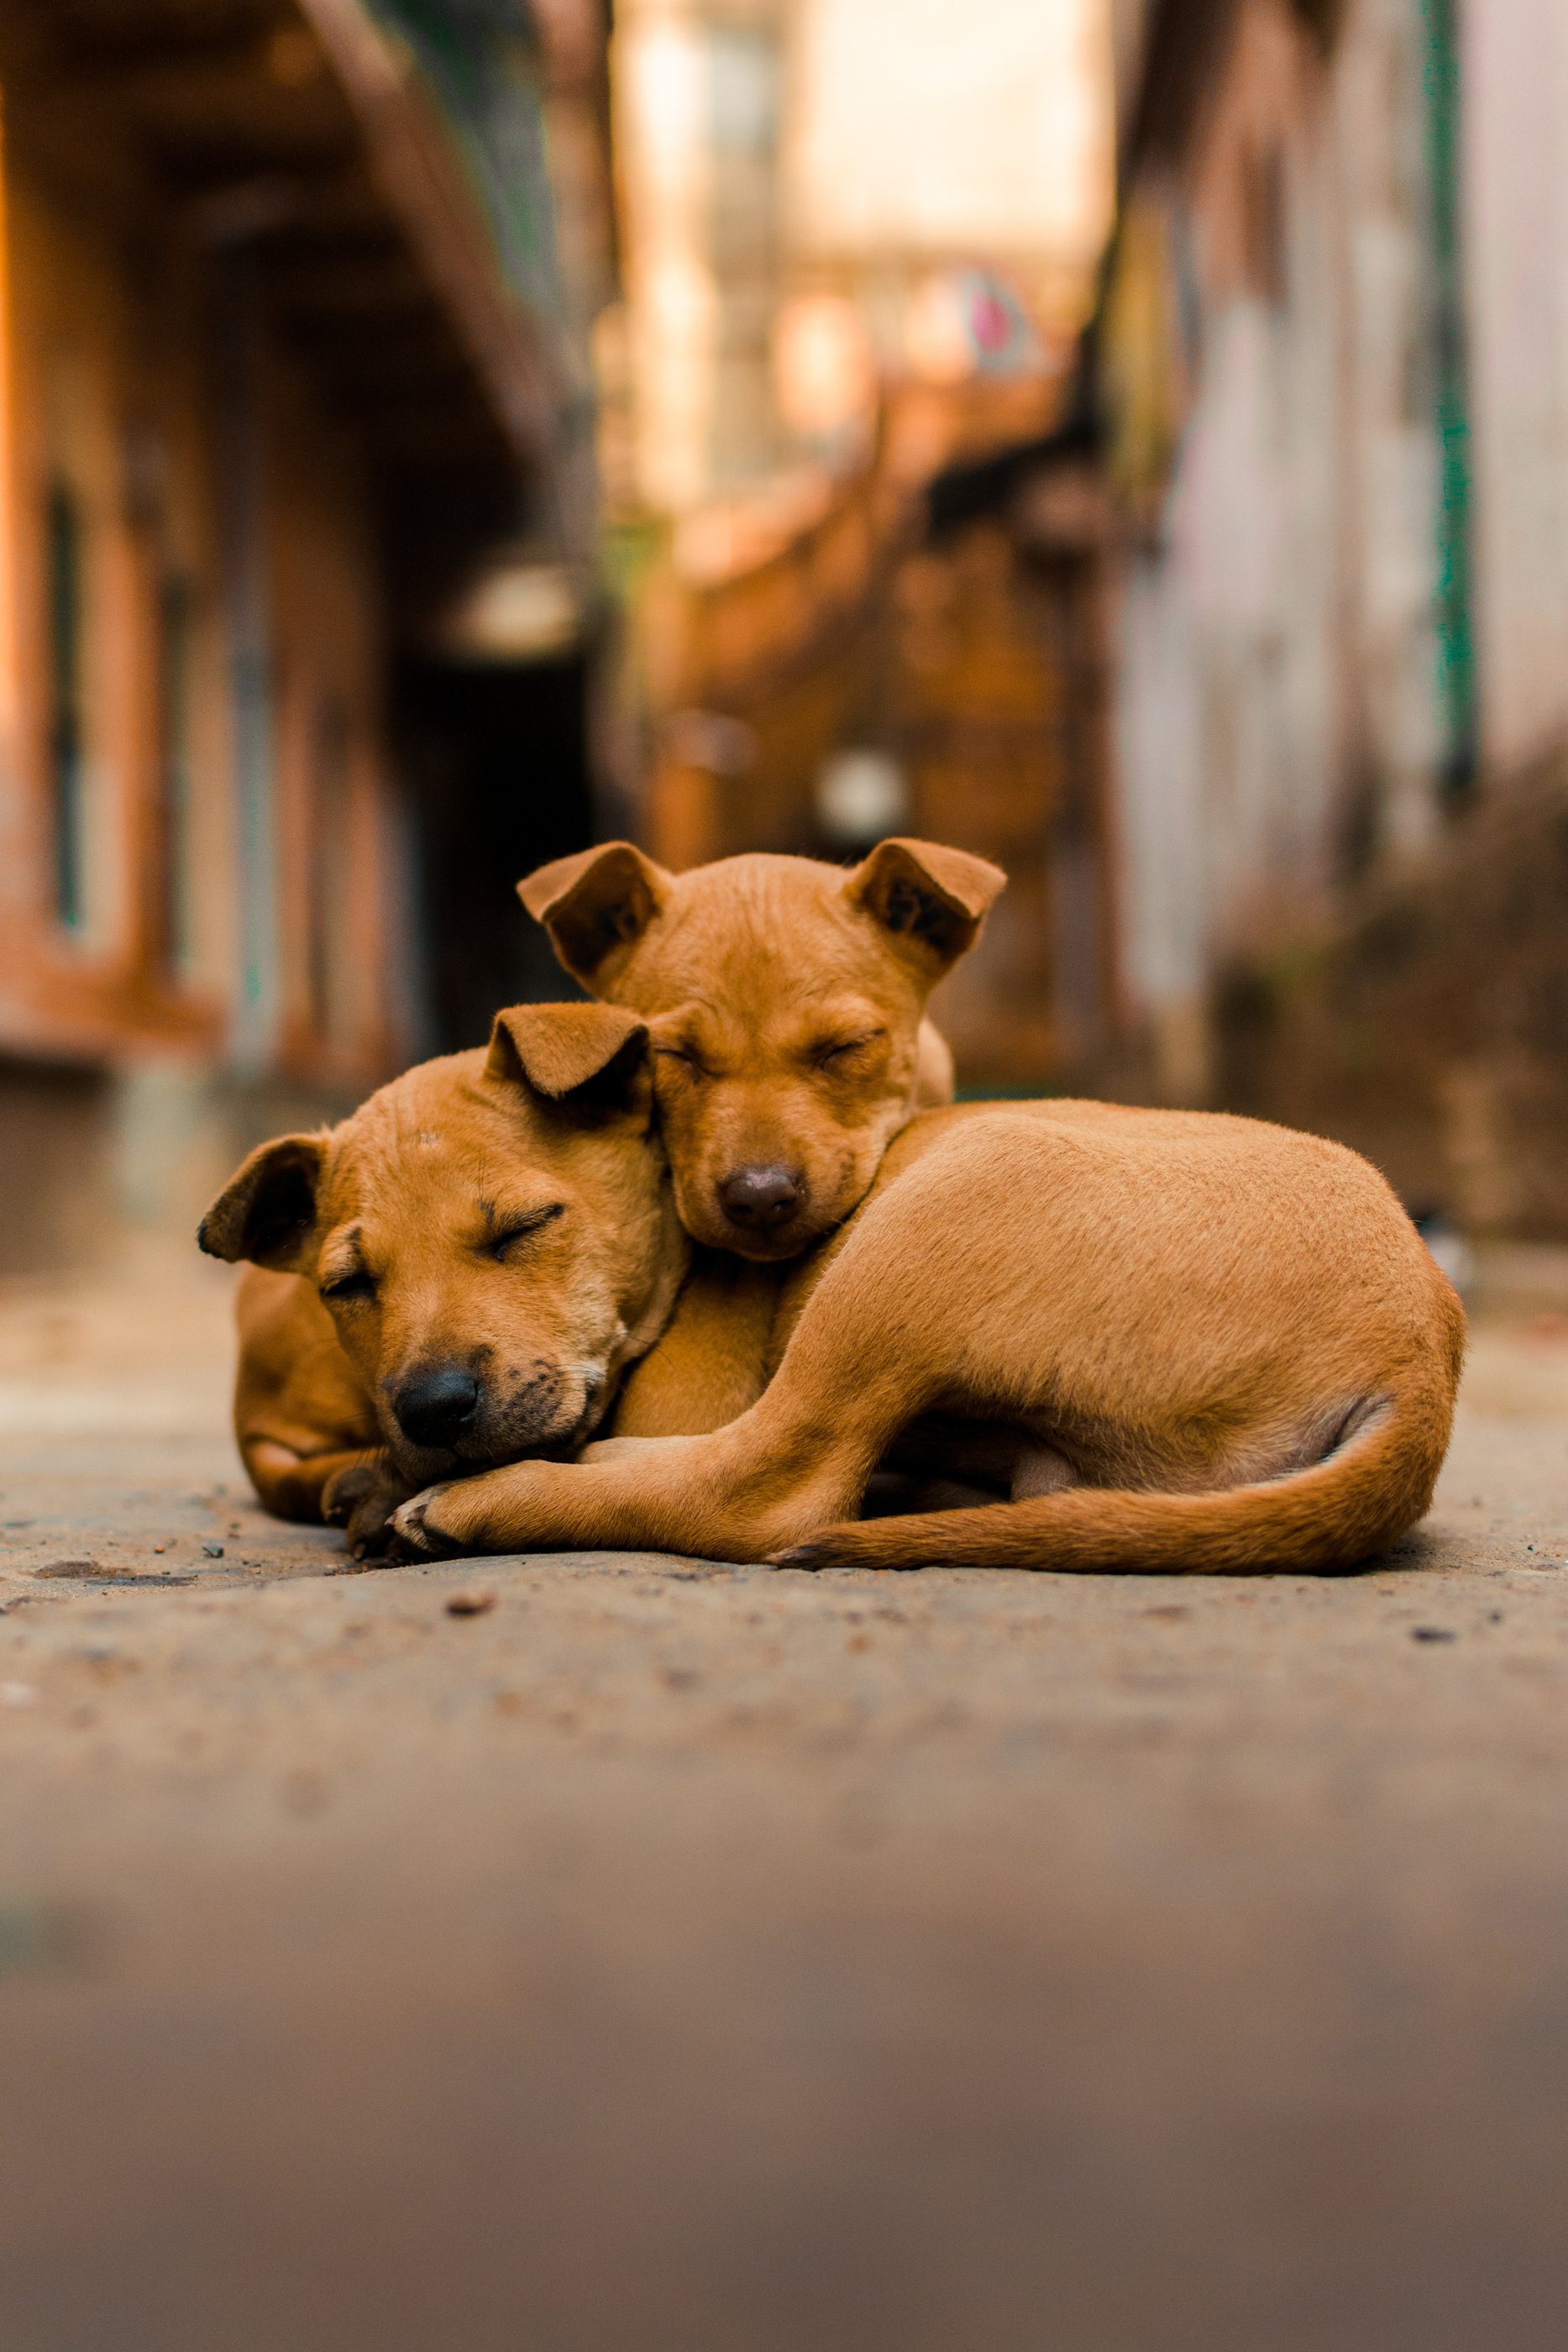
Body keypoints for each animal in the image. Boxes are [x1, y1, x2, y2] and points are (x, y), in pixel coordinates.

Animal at [202, 997, 1466, 1571]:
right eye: (346, 1284)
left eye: (523, 1226)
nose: (430, 1411)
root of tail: (1420, 1351)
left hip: (941, 1217)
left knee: (771, 1486)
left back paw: (471, 1500)